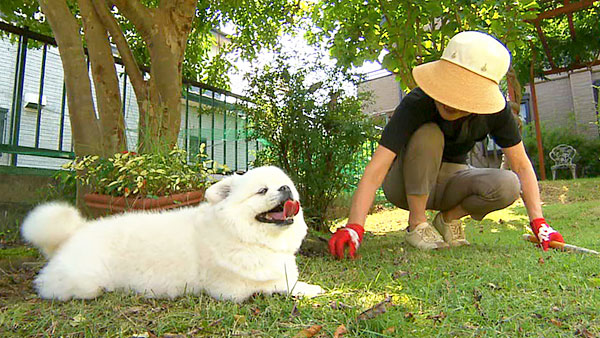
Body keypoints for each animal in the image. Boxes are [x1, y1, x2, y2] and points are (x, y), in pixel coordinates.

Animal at [21, 166, 324, 302]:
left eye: (287, 186)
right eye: (262, 191)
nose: (285, 189)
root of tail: (73, 233)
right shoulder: (231, 289)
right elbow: (280, 284)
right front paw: (310, 289)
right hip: (85, 281)